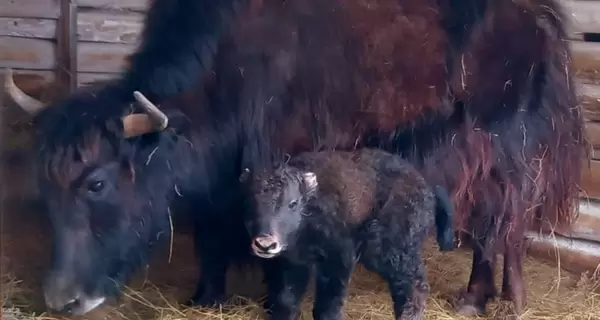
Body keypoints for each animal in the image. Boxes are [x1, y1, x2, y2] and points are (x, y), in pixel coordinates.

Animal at [239, 149, 454, 320]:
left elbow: (328, 306)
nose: (265, 243)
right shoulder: (292, 264)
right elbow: (286, 301)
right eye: (250, 200)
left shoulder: (339, 259)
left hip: (389, 250)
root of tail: (427, 187)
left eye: (293, 203)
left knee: (414, 287)